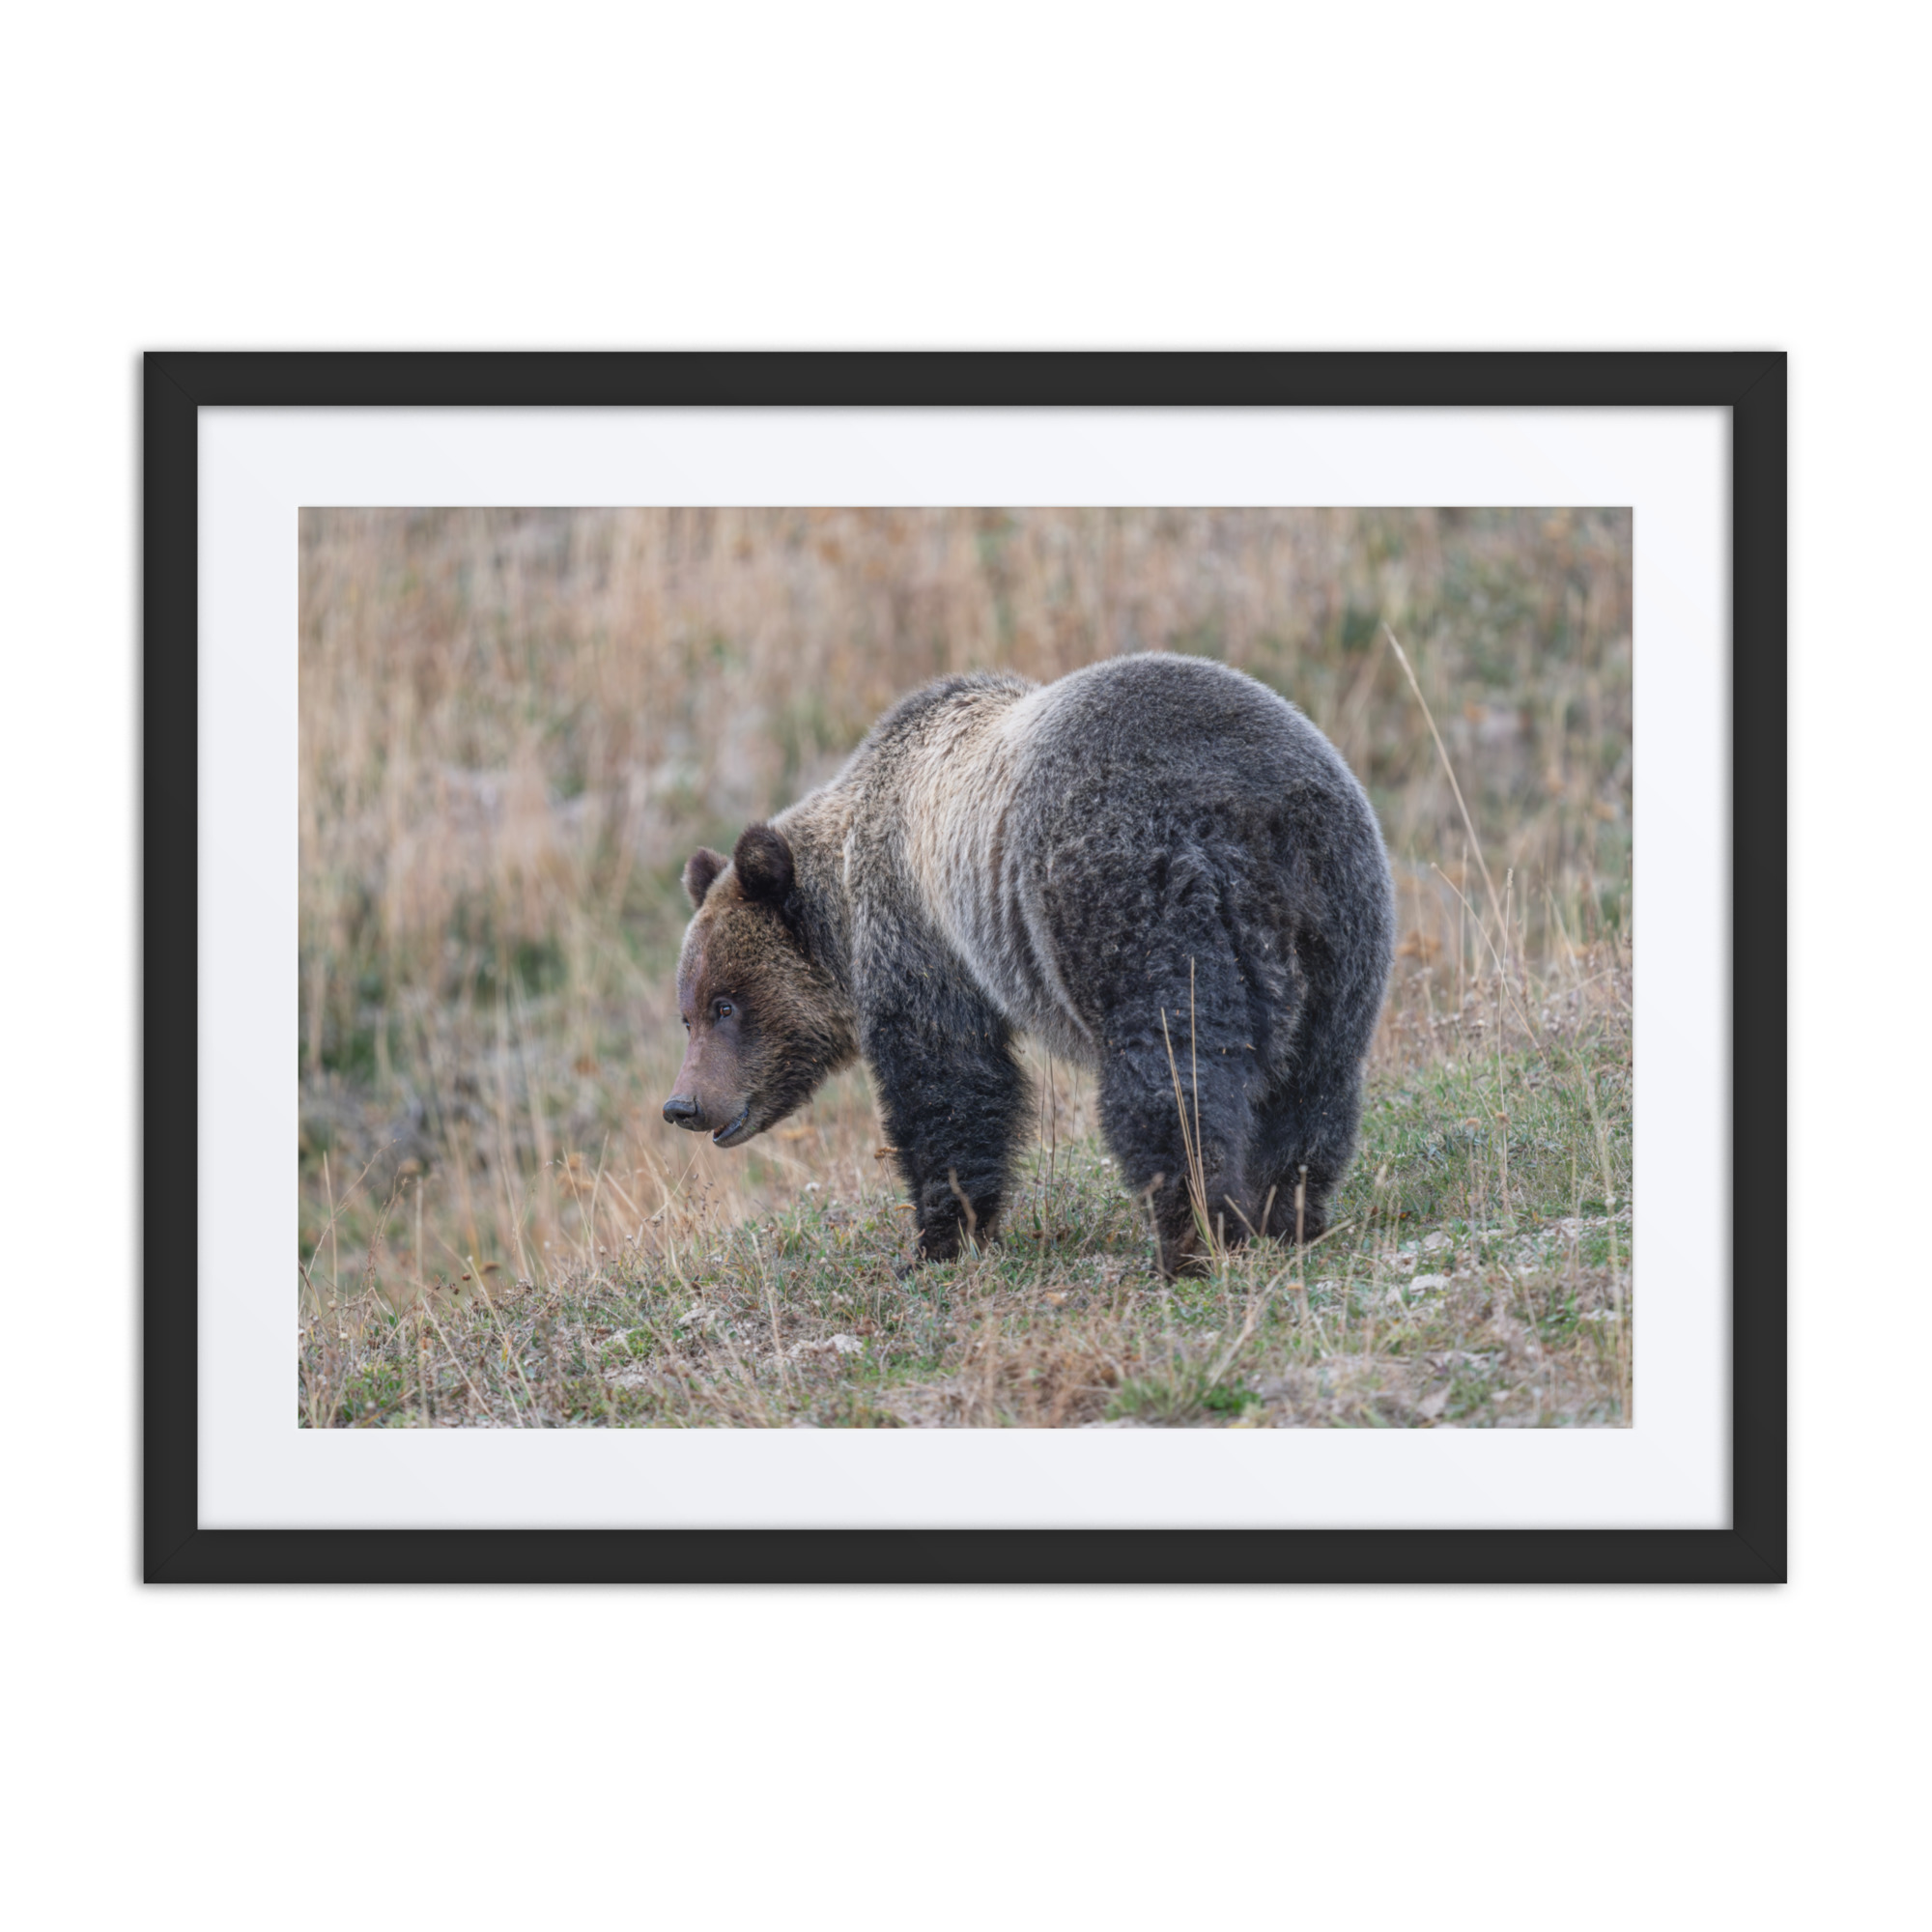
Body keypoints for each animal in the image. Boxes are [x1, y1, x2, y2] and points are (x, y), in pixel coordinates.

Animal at [662, 652, 1394, 1278]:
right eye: (687, 1013)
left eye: (726, 1004)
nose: (683, 1104)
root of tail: (1252, 813)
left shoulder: (923, 938)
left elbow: (949, 1085)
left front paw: (938, 1240)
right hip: (1340, 918)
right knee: (1314, 1081)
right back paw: (1287, 1214)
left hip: (1133, 896)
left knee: (1172, 1075)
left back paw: (1191, 1239)